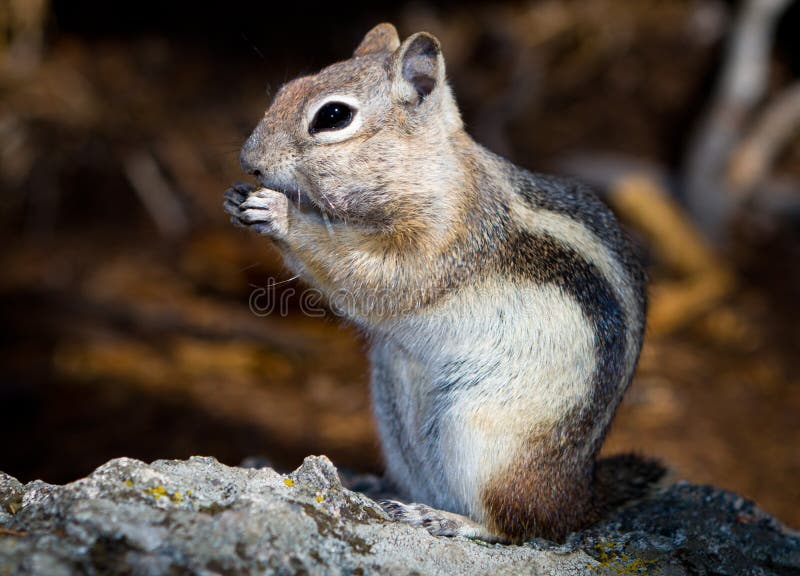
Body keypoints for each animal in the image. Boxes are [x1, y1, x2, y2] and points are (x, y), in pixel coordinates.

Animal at [222, 23, 664, 544]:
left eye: (332, 116)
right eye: (287, 89)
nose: (249, 161)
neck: (435, 171)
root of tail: (579, 498)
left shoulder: (440, 241)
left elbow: (370, 273)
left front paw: (279, 213)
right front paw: (237, 198)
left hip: (480, 433)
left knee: (515, 524)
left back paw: (443, 518)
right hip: (395, 417)